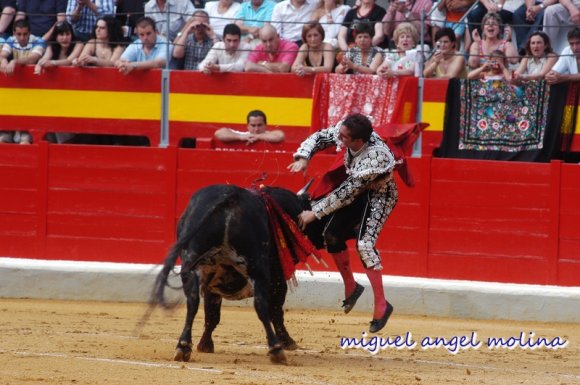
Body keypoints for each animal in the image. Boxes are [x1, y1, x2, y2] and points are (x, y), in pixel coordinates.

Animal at [148, 183, 322, 364]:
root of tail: (229, 196)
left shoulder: (211, 281)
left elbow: (211, 313)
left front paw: (204, 344)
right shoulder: (277, 278)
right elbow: (275, 310)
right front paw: (287, 342)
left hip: (191, 265)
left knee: (193, 302)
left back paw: (183, 347)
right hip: (256, 267)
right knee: (261, 304)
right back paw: (276, 349)